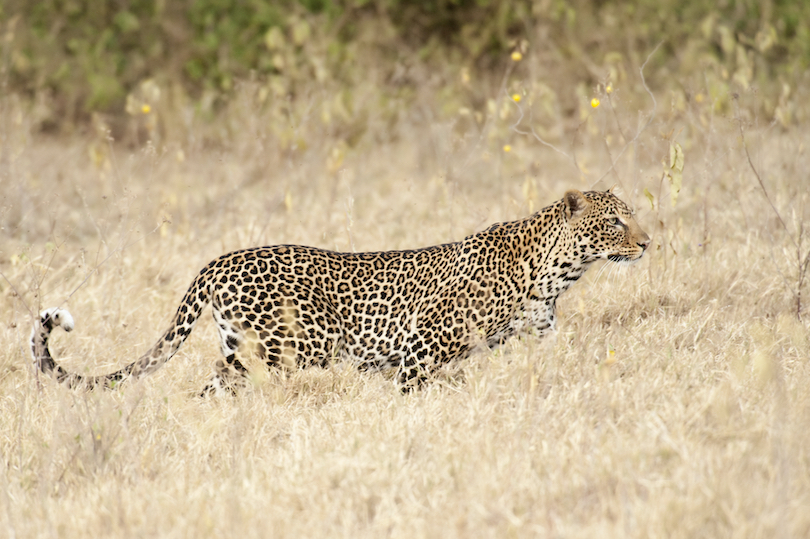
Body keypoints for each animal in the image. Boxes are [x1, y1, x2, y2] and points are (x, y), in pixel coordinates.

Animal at [30, 188, 652, 394]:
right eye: (615, 221)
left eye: (631, 217)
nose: (649, 242)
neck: (558, 270)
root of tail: (218, 259)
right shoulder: (422, 348)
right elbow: (410, 392)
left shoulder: (535, 339)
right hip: (298, 345)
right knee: (232, 376)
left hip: (251, 344)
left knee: (217, 379)